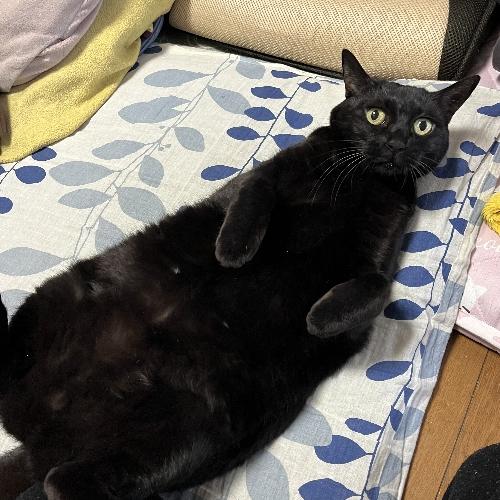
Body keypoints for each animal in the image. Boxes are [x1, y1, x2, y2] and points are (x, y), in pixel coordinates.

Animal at [0, 50, 479, 500]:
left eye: (422, 126)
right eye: (375, 115)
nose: (396, 143)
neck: (362, 180)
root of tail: (42, 436)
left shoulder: (379, 255)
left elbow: (379, 287)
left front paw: (319, 319)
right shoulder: (265, 177)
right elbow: (254, 195)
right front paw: (234, 252)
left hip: (186, 433)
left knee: (63, 481)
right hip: (55, 299)